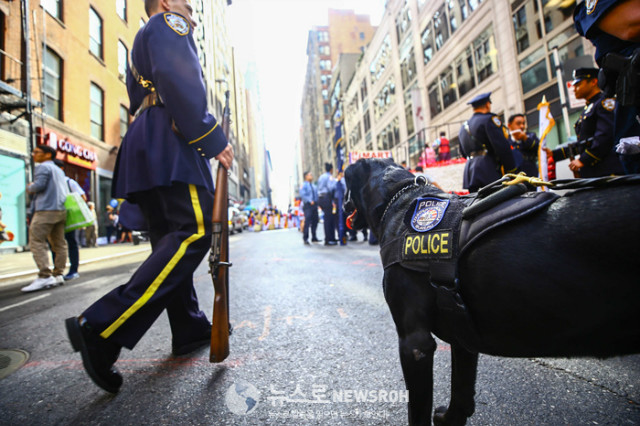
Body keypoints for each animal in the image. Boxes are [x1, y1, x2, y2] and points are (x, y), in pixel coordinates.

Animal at [344, 159, 640, 426]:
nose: (343, 205)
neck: (402, 198)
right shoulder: (461, 333)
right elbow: (462, 389)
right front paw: (451, 418)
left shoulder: (415, 344)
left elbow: (418, 410)